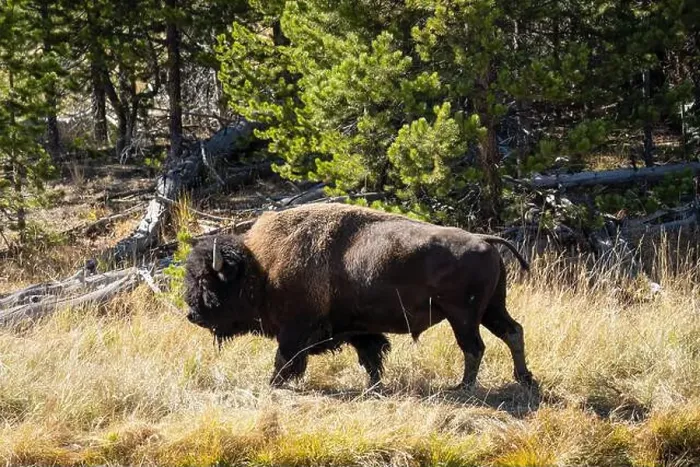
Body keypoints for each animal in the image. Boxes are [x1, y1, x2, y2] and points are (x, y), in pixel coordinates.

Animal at [184, 203, 533, 389]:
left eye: (206, 281)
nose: (192, 314)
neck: (260, 265)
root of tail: (484, 240)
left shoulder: (295, 329)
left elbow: (285, 358)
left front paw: (274, 384)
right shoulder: (358, 328)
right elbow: (371, 356)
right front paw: (374, 386)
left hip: (463, 316)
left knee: (474, 347)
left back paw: (464, 386)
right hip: (491, 308)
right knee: (512, 332)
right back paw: (523, 378)